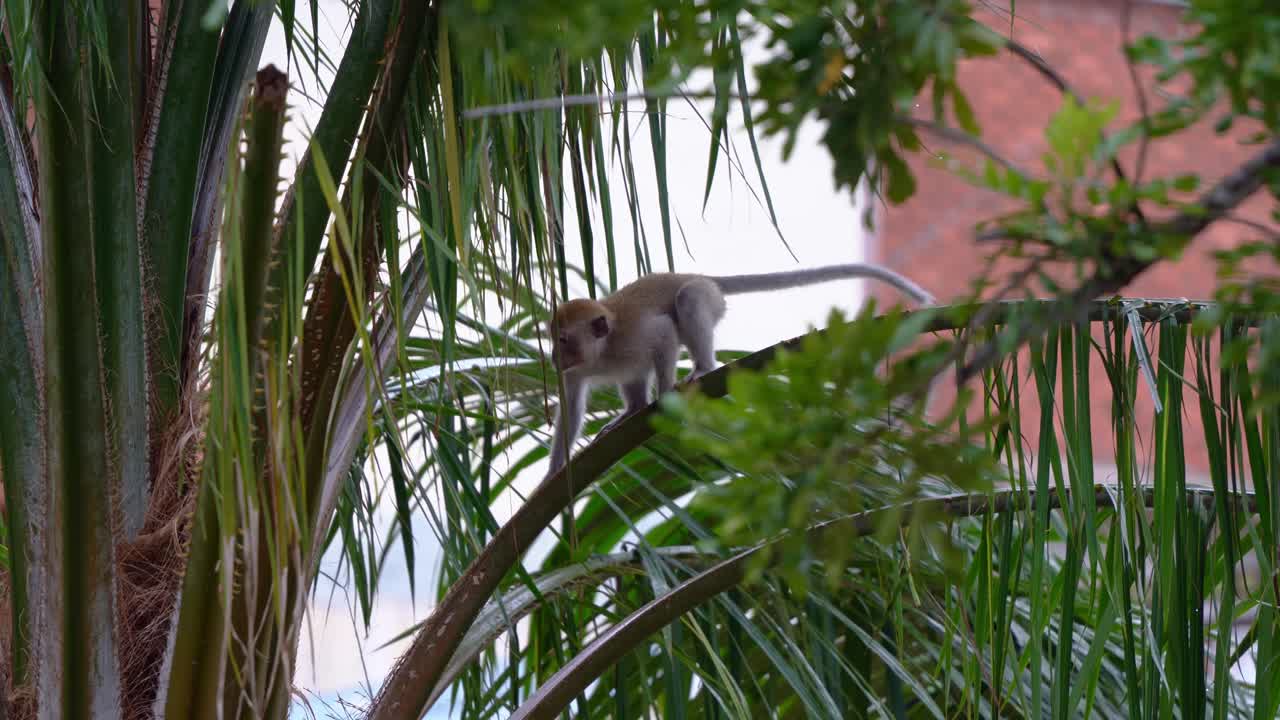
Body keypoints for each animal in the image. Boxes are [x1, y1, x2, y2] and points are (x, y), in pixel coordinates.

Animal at [543, 264, 937, 478]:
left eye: (563, 339)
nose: (552, 357)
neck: (602, 350)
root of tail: (698, 275)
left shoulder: (633, 336)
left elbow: (664, 334)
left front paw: (667, 393)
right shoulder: (577, 370)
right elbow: (572, 406)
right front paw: (555, 473)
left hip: (706, 296)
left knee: (688, 300)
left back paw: (701, 368)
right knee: (635, 375)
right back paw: (632, 410)